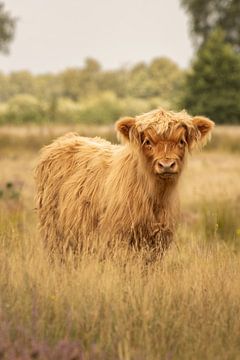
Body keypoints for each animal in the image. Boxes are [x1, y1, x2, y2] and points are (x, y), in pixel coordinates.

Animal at [34, 108, 214, 255]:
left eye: (181, 141)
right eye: (147, 141)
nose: (166, 165)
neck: (156, 198)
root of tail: (65, 139)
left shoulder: (159, 242)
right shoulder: (118, 239)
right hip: (53, 232)